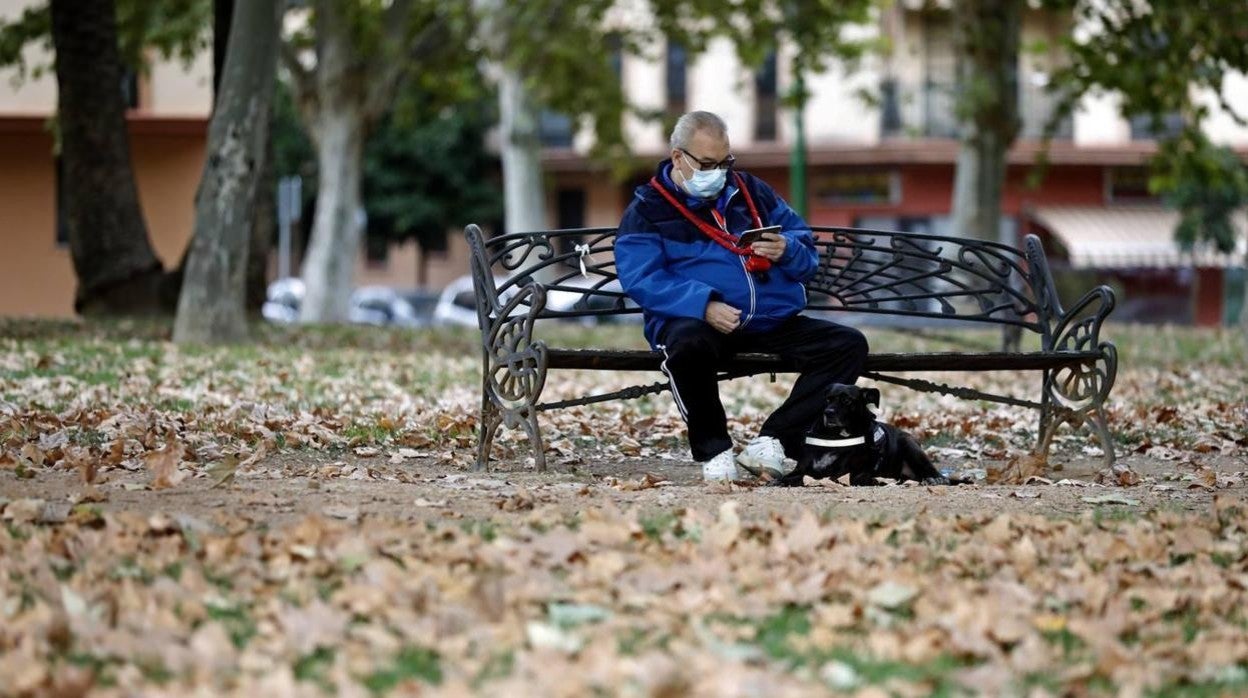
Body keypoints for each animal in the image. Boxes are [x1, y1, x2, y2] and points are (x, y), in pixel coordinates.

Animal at [768, 384, 953, 489]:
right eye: (828, 399)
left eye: (847, 401)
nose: (828, 413)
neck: (834, 437)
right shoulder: (802, 467)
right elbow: (793, 475)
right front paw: (779, 481)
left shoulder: (842, 473)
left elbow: (803, 478)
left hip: (910, 446)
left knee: (938, 475)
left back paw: (934, 480)